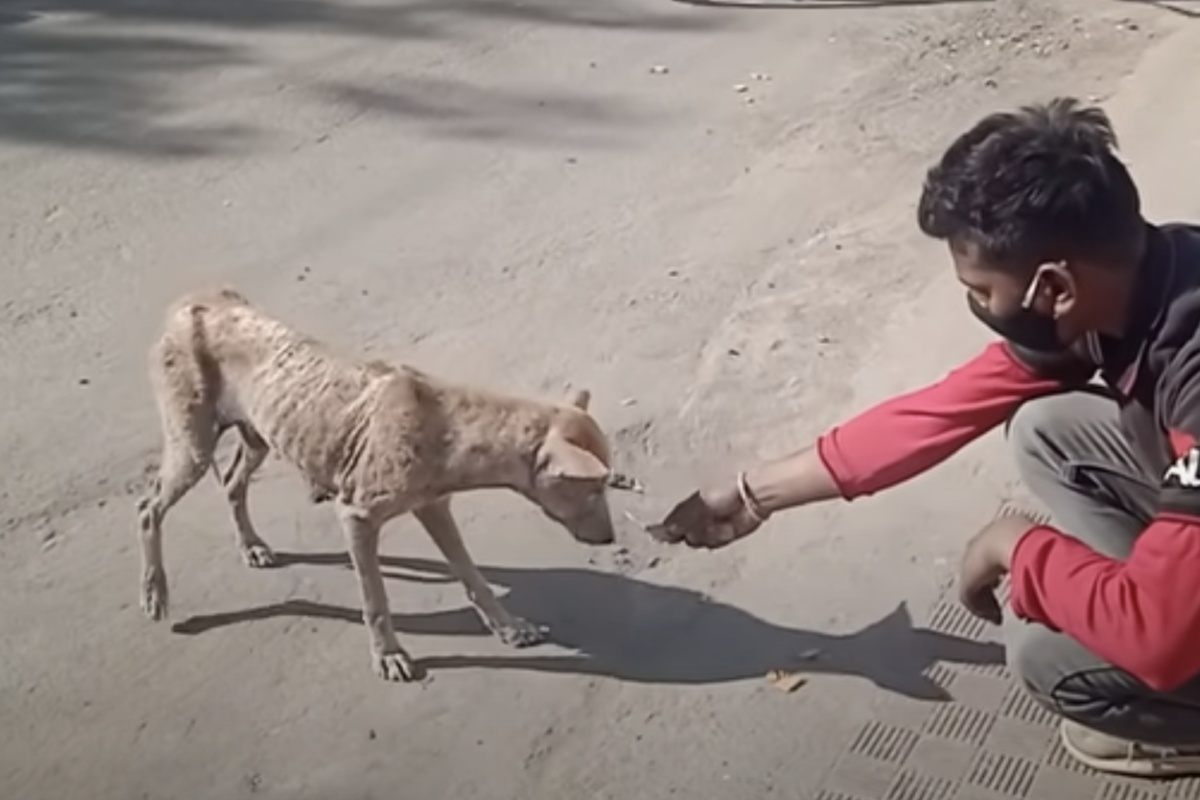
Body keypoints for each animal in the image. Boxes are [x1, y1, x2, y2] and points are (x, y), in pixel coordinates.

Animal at [136, 287, 614, 681]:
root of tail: (191, 302)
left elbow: (471, 574)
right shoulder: (357, 518)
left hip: (259, 436)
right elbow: (375, 599)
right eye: (592, 489)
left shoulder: (434, 506)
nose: (610, 538)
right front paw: (388, 655)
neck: (446, 423)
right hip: (193, 448)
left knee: (233, 483)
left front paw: (509, 627)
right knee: (148, 508)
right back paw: (155, 590)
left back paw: (250, 545)